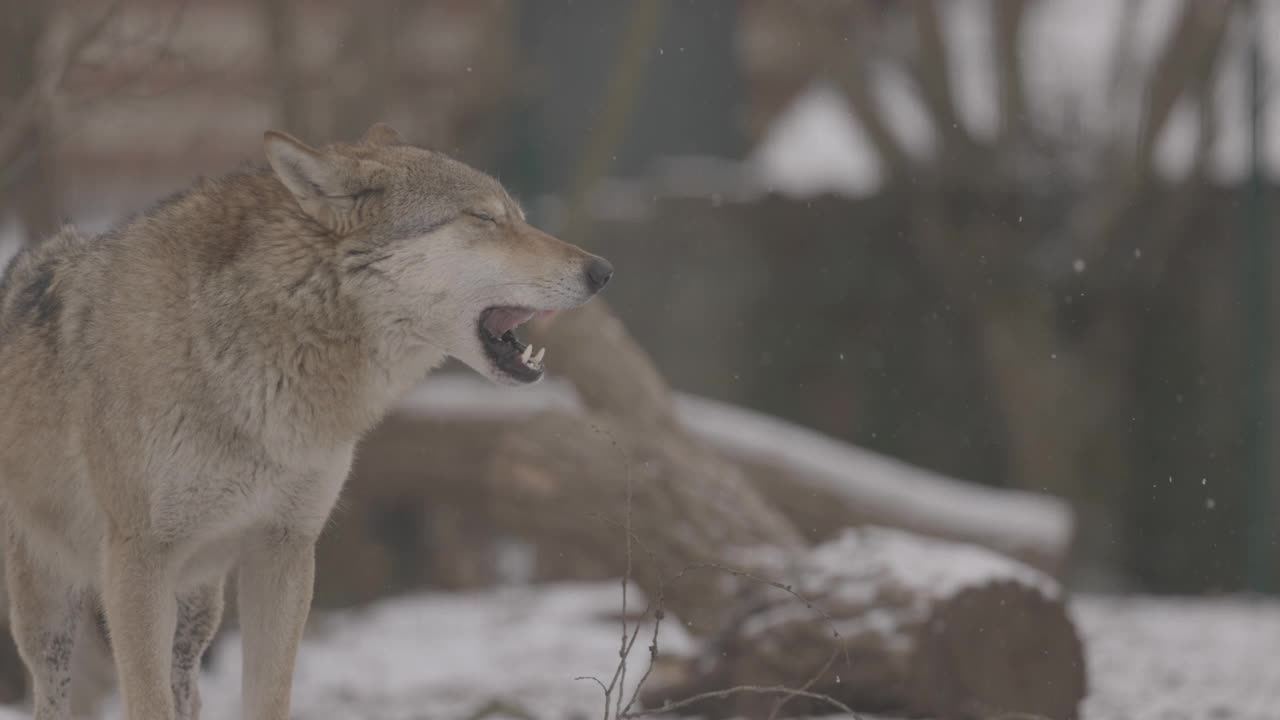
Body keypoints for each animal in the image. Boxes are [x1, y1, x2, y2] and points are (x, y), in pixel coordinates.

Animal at [0, 120, 614, 712]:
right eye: (485, 218)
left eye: (519, 217)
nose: (603, 270)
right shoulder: (139, 560)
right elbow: (146, 704)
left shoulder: (285, 550)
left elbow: (270, 699)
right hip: (49, 611)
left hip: (196, 605)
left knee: (189, 692)